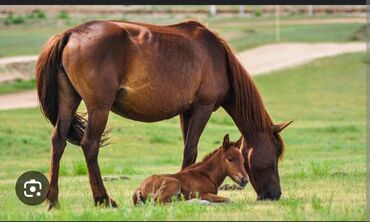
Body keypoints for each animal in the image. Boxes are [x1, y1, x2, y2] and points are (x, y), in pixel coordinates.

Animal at [36, 19, 294, 210]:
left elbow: (188, 151)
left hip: (69, 101)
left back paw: (53, 200)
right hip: (99, 107)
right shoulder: (203, 107)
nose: (275, 194)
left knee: (58, 141)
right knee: (90, 145)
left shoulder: (186, 112)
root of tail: (70, 34)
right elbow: (191, 150)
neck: (217, 57)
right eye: (274, 155)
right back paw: (103, 199)